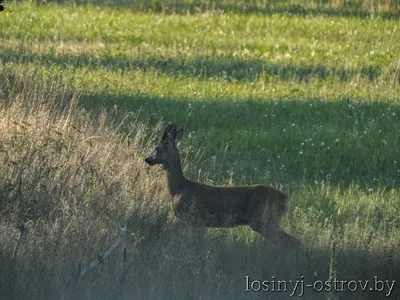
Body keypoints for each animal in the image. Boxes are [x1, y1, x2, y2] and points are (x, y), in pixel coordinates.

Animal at [145, 123, 300, 248]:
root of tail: (286, 200)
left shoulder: (192, 218)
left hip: (263, 220)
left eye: (157, 148)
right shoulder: (200, 223)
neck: (178, 187)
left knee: (292, 242)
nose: (147, 159)